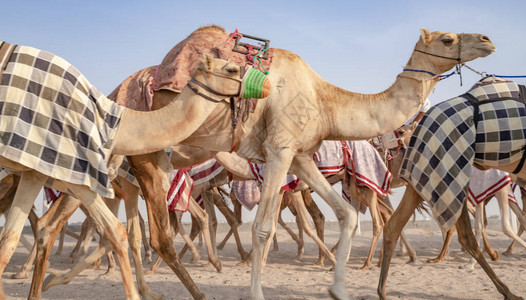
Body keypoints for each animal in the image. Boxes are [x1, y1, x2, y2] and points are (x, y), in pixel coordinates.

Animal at [0, 36, 270, 298]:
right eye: (232, 68)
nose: (266, 84)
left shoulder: (48, 171)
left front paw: (146, 288)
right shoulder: (88, 169)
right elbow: (138, 235)